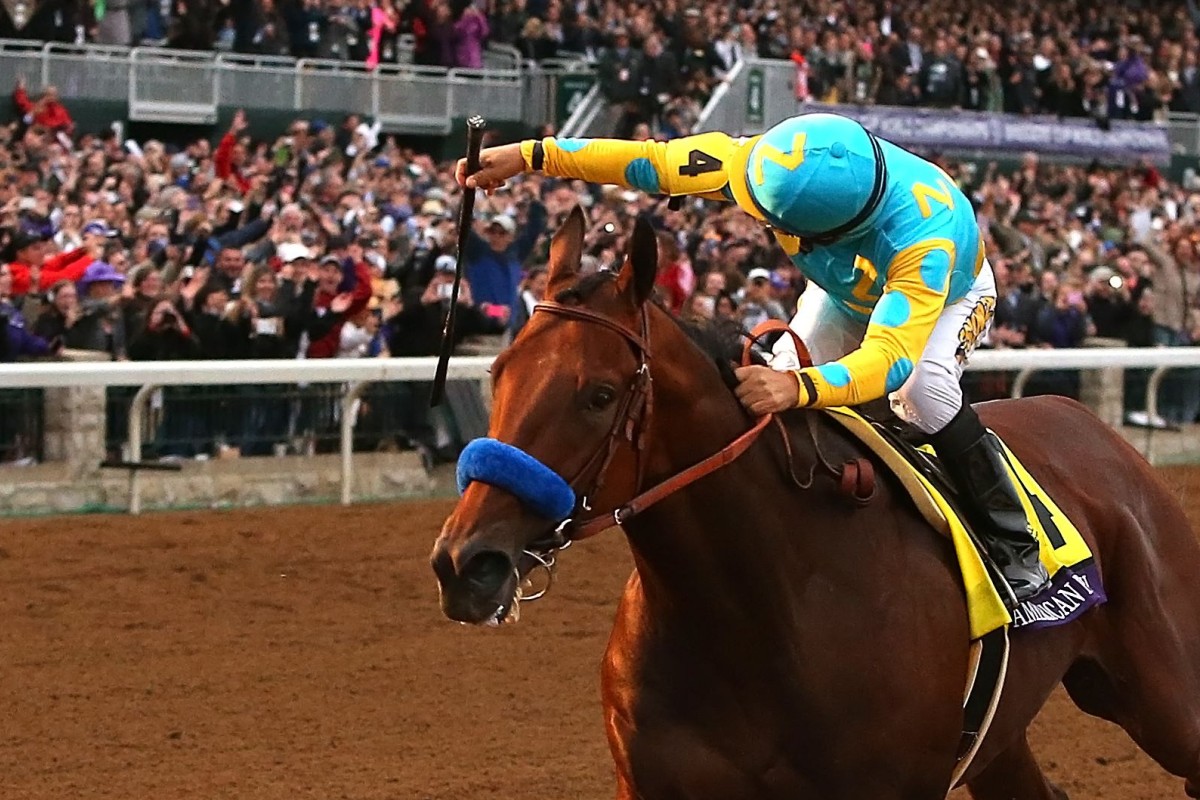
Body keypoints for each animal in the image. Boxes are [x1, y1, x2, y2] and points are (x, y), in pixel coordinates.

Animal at [429, 209, 1200, 800]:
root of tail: (1097, 431)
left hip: (1168, 701)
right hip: (1003, 734)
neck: (757, 610)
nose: (465, 564)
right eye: (498, 372)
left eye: (599, 394)